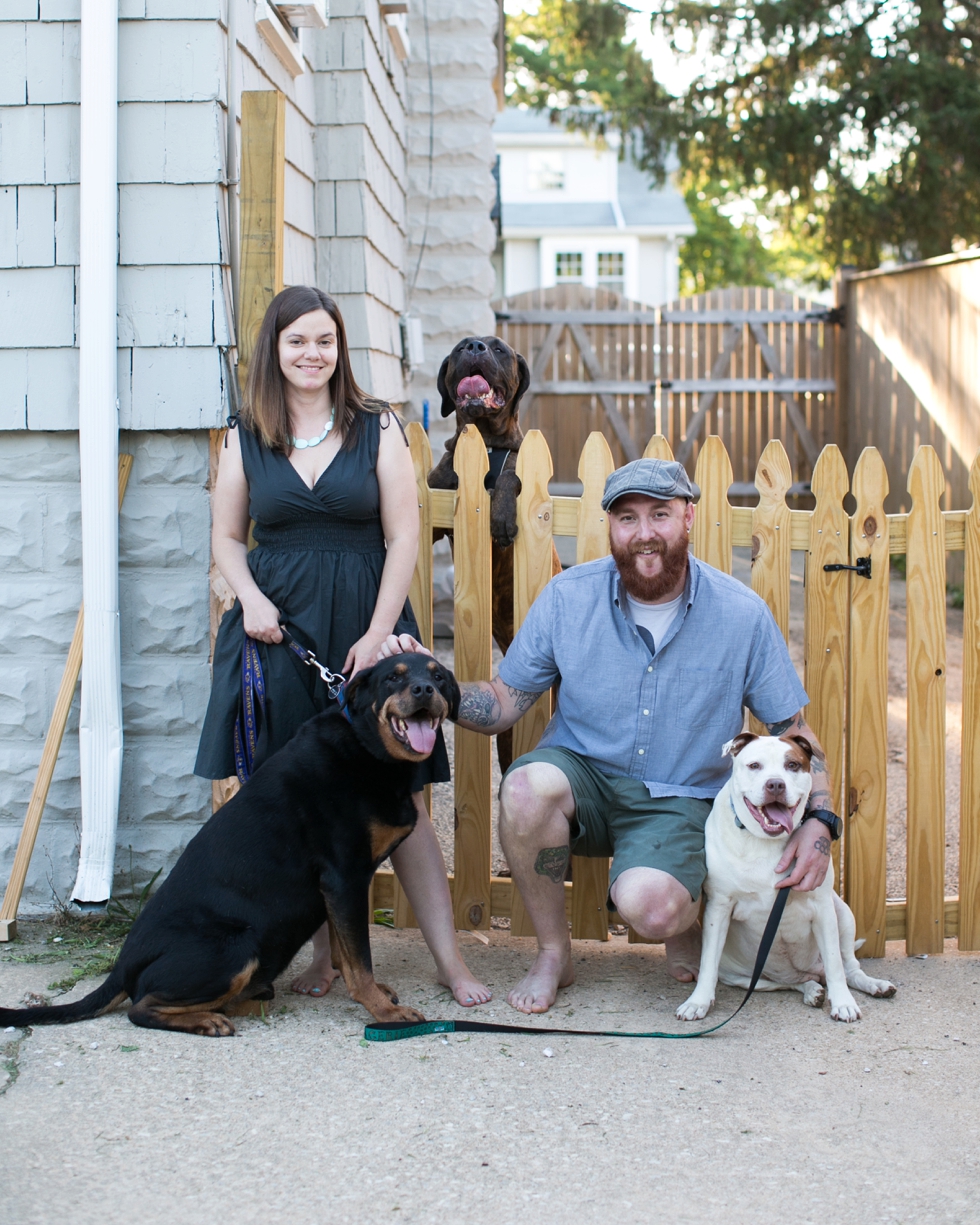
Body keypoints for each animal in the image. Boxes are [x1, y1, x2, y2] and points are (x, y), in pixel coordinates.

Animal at [0, 656, 460, 1038]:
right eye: (392, 678)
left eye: (438, 675)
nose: (424, 690)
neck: (368, 749)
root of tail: (121, 967)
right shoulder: (344, 877)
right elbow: (358, 958)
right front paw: (384, 1011)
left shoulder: (341, 887)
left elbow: (347, 952)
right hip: (237, 948)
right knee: (141, 1007)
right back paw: (208, 1020)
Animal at [428, 338, 558, 764]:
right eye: (458, 349)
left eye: (499, 350)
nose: (475, 345)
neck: (483, 442)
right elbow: (439, 477)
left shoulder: (516, 466)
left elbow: (511, 473)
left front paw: (500, 514)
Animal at [676, 735, 896, 1024]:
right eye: (754, 765)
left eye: (792, 765)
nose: (775, 784)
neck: (765, 841)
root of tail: (810, 971)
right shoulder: (719, 908)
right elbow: (707, 965)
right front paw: (698, 1001)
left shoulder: (823, 908)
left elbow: (836, 965)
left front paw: (844, 1003)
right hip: (746, 978)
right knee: (791, 982)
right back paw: (812, 990)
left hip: (843, 914)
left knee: (849, 968)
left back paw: (874, 985)